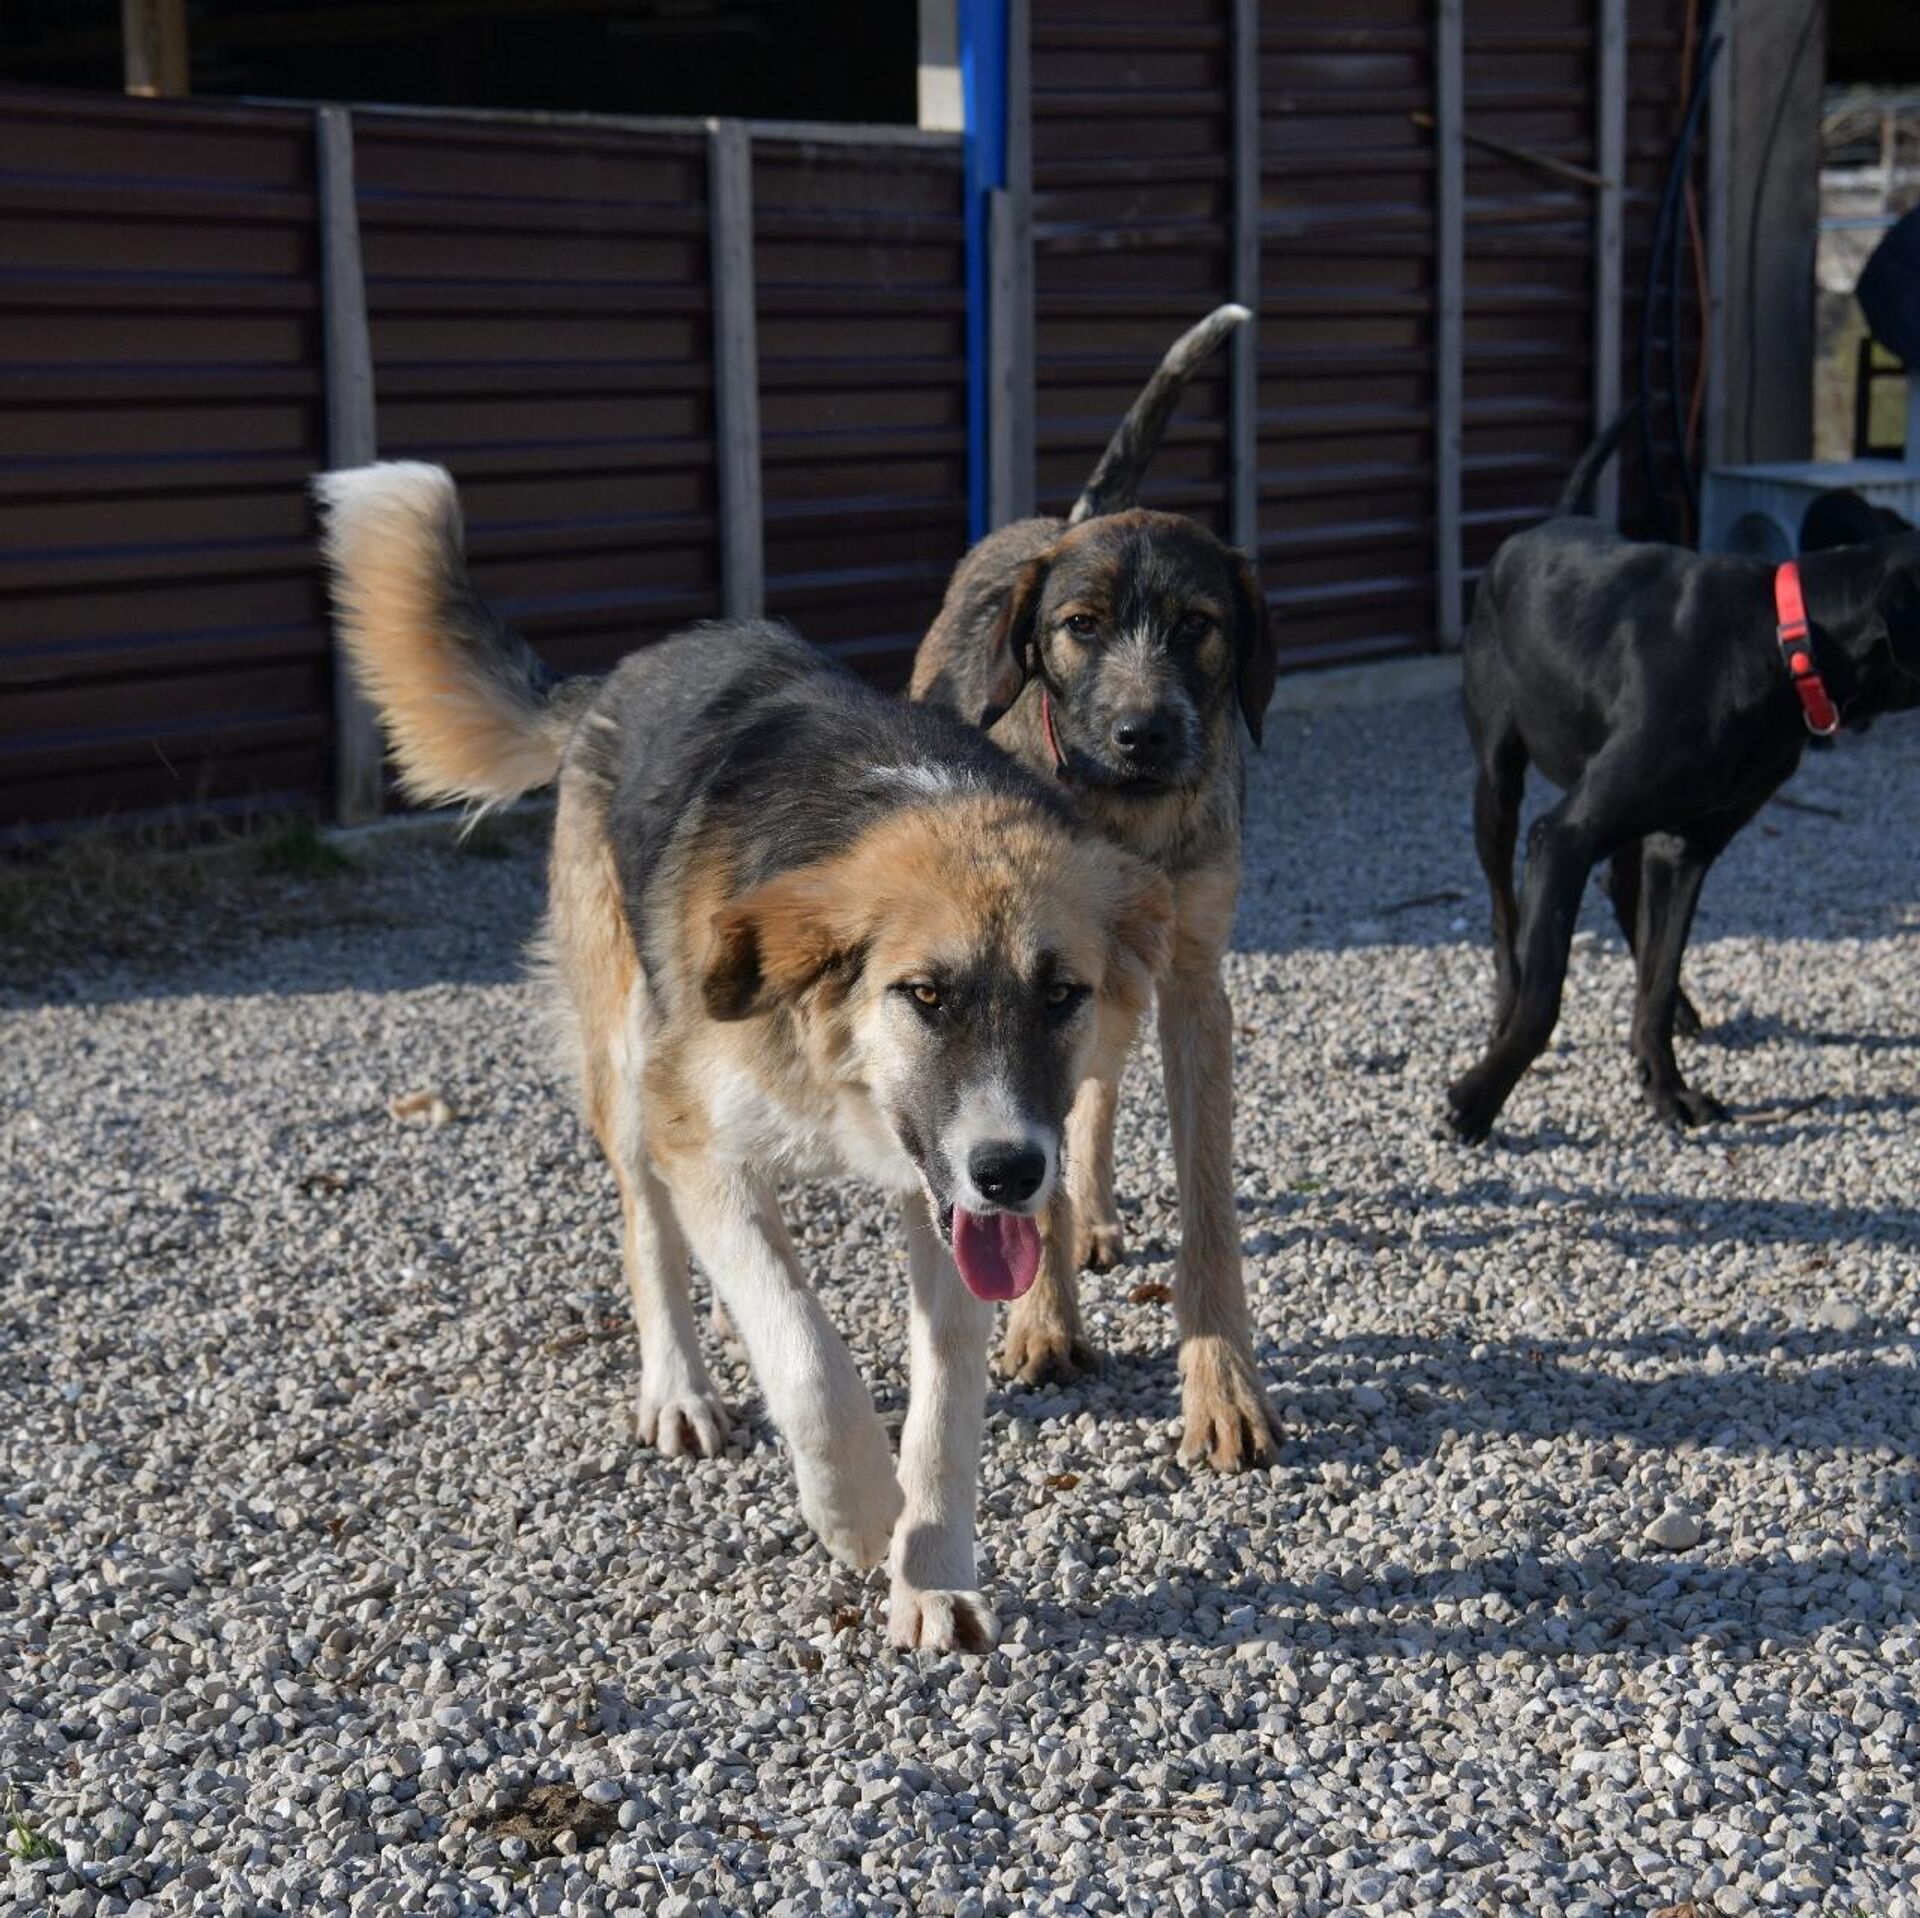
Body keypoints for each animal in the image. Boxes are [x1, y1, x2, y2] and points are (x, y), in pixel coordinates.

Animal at [315, 463, 1172, 1651]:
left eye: (1062, 994)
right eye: (925, 994)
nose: (1014, 1175)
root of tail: (631, 669)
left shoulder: (944, 1206)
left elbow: (943, 1406)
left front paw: (931, 1573)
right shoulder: (701, 1137)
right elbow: (807, 1357)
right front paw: (859, 1514)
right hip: (629, 1069)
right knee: (651, 1234)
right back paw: (680, 1385)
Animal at [909, 305, 1282, 1472]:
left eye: (1200, 623)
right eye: (1080, 625)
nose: (1143, 732)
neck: (1125, 815)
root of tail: (1046, 525)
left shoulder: (1197, 987)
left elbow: (1209, 1210)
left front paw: (1223, 1385)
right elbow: (1027, 1165)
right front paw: (1039, 1322)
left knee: (1098, 1092)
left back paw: (1100, 1213)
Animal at [1450, 422, 1920, 1143]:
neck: (1782, 642)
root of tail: (1546, 523)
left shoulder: (1686, 848)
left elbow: (1659, 975)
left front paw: (1666, 1087)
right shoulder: (1564, 837)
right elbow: (1545, 996)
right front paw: (1478, 1099)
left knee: (1620, 890)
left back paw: (1679, 1014)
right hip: (1498, 780)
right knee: (1505, 912)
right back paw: (1501, 1008)